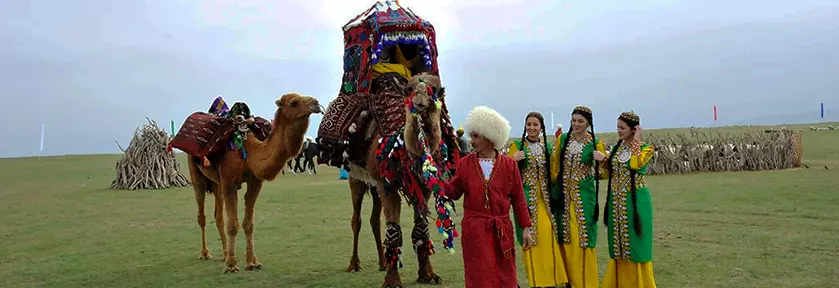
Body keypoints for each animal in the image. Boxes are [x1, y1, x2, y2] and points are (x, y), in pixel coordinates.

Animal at [186, 92, 322, 272]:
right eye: (294, 102)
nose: (316, 103)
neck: (249, 153)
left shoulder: (255, 182)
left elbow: (248, 224)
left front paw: (252, 262)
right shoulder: (229, 183)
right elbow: (233, 225)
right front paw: (231, 265)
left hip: (216, 183)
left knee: (218, 216)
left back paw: (224, 253)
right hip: (197, 177)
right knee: (201, 214)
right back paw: (206, 253)